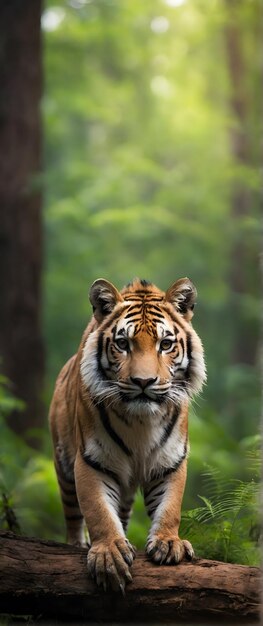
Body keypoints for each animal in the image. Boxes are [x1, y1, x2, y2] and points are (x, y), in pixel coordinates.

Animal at [49, 276, 206, 588]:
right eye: (123, 343)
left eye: (165, 344)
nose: (144, 381)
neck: (141, 422)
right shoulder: (92, 460)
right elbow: (98, 510)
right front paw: (109, 553)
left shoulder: (170, 461)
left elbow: (170, 507)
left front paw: (169, 542)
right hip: (63, 465)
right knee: (73, 514)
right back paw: (78, 543)